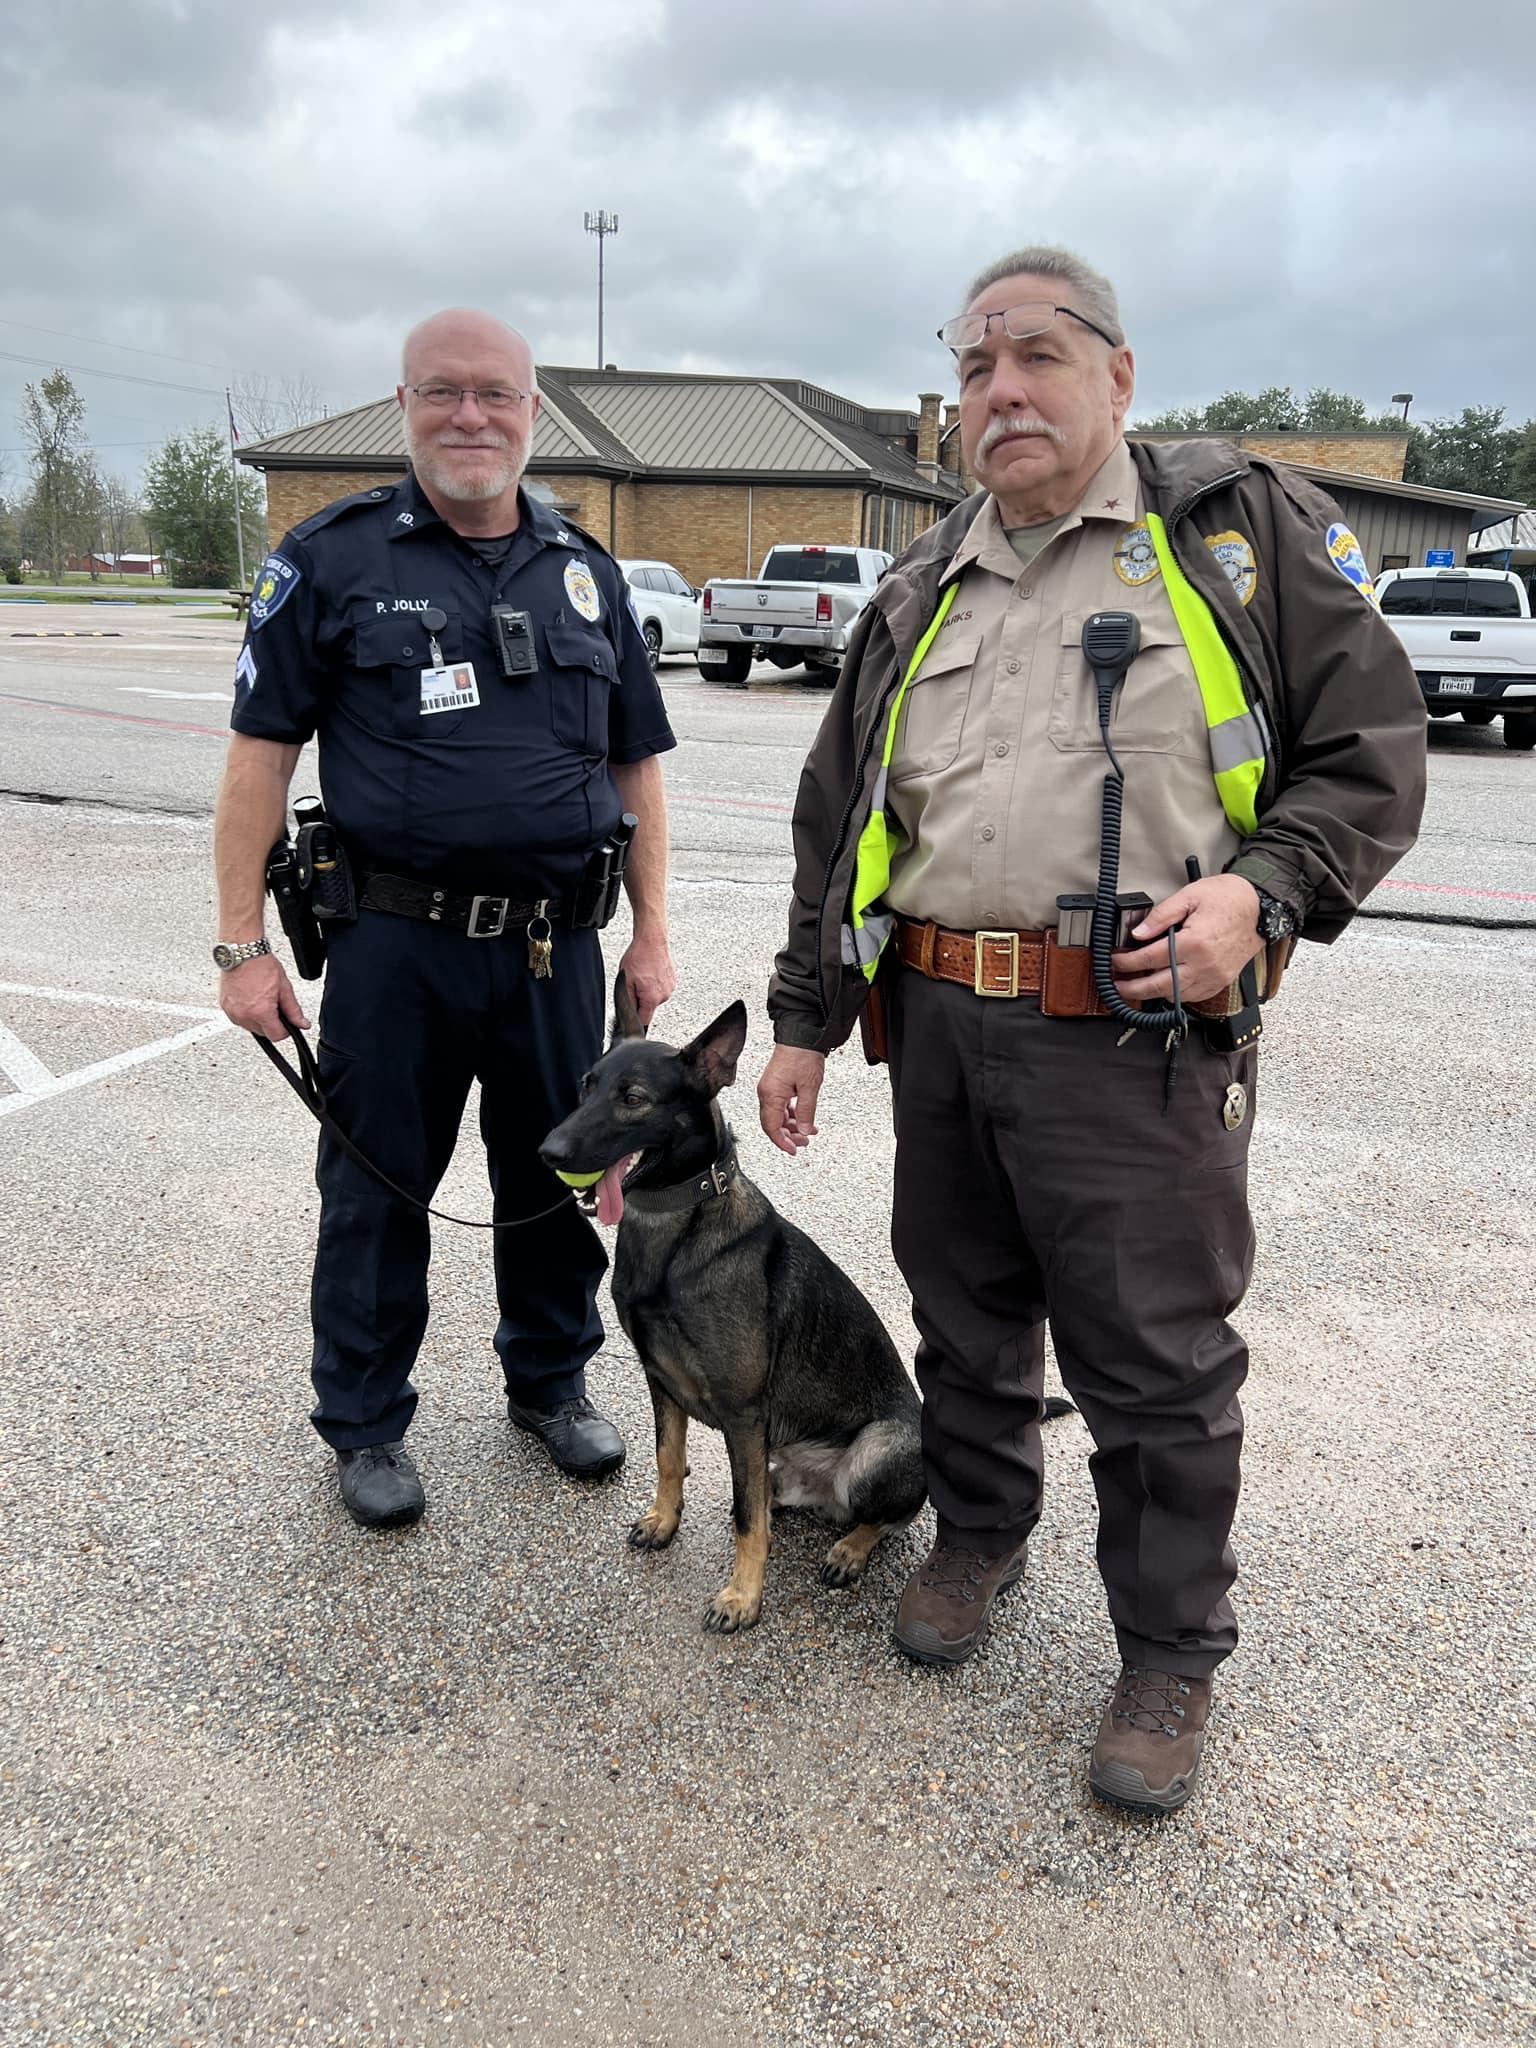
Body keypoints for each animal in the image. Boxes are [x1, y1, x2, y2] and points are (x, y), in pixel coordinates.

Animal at [540, 974, 925, 1630]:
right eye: (586, 1086)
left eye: (633, 1098)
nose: (548, 1151)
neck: (675, 1234)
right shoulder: (661, 1382)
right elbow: (671, 1460)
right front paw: (665, 1521)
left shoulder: (743, 1416)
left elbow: (749, 1521)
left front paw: (743, 1597)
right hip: (773, 1454)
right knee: (770, 1494)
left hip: (876, 1451)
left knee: (886, 1517)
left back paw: (850, 1548)